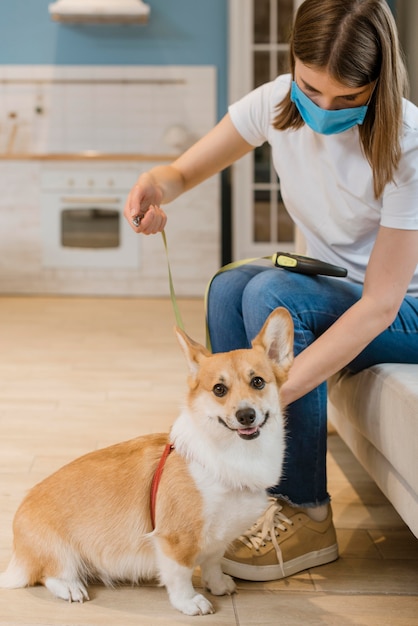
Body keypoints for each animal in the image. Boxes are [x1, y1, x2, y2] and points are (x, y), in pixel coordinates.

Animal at [0, 308, 294, 616]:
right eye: (219, 389)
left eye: (258, 382)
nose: (246, 415)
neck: (233, 455)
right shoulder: (174, 540)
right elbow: (180, 575)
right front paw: (190, 602)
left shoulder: (217, 539)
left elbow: (212, 563)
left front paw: (218, 585)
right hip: (60, 552)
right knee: (49, 574)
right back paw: (70, 588)